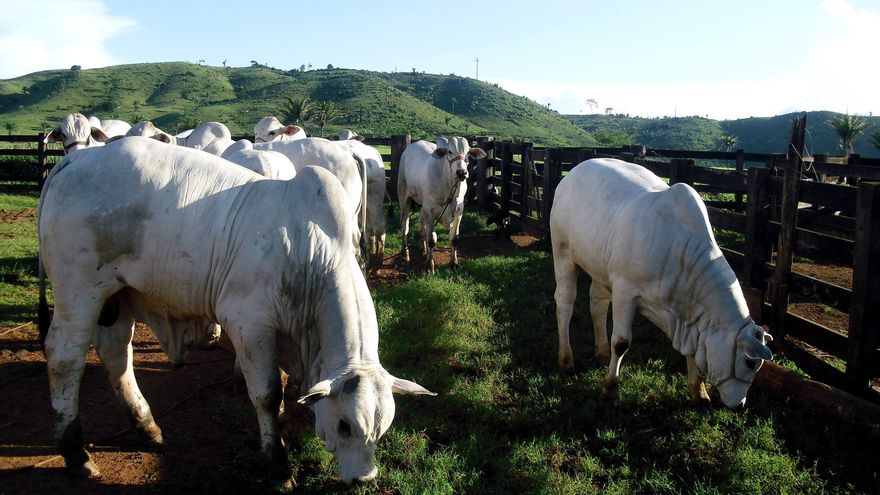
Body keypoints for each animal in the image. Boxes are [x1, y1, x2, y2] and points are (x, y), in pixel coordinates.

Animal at [398, 138, 488, 274]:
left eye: (468, 153)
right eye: (449, 151)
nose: (461, 172)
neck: (449, 186)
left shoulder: (459, 211)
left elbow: (454, 238)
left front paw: (454, 263)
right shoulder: (429, 210)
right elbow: (431, 239)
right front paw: (429, 266)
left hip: (422, 204)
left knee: (421, 224)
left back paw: (423, 249)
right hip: (404, 197)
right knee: (405, 226)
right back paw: (405, 253)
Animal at [552, 160, 772, 410]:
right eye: (749, 362)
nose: (740, 404)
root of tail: (573, 172)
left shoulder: (689, 317)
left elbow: (691, 351)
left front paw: (699, 392)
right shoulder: (625, 291)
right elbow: (621, 343)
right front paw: (609, 388)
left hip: (600, 267)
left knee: (597, 302)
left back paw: (602, 352)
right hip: (562, 251)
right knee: (565, 302)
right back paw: (566, 359)